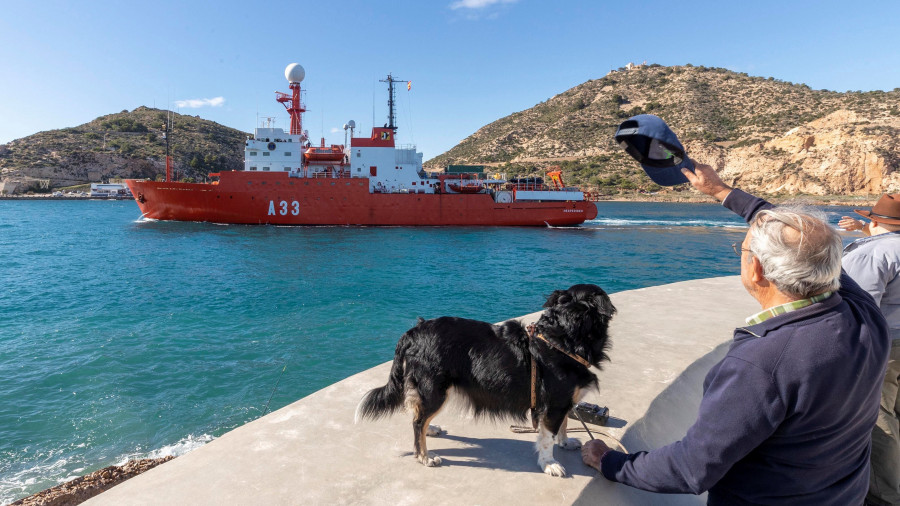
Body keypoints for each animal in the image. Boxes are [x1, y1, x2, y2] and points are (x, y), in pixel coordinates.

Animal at [356, 282, 616, 476]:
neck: (561, 341)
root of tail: (413, 331)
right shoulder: (554, 404)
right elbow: (547, 437)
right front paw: (549, 463)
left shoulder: (562, 402)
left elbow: (562, 426)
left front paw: (565, 442)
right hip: (435, 389)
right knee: (418, 422)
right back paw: (424, 456)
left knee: (418, 415)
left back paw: (431, 430)